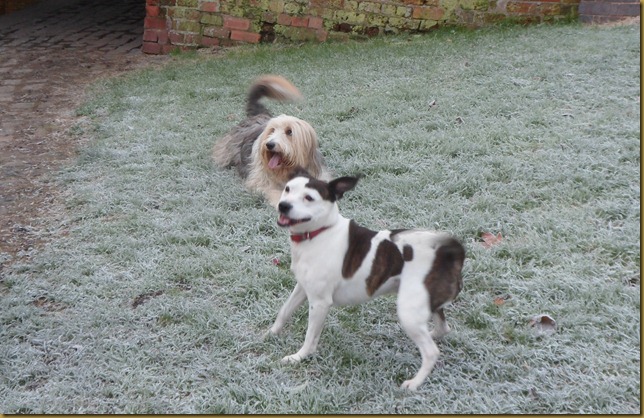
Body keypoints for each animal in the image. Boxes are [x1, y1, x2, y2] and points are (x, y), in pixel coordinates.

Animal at [212, 75, 329, 207]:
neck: (286, 170)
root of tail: (258, 115)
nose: (269, 144)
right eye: (272, 130)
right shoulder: (261, 181)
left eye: (289, 131)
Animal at [266, 170, 465, 391]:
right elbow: (284, 311)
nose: (283, 205)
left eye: (309, 198)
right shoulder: (302, 288)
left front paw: (298, 357)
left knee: (431, 352)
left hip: (409, 312)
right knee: (443, 328)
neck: (320, 232)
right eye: (287, 189)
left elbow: (310, 338)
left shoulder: (319, 302)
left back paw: (414, 383)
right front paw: (270, 333)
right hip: (428, 302)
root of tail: (449, 253)